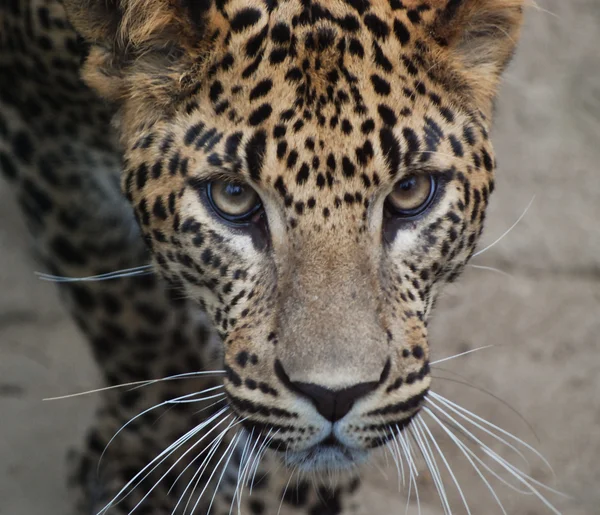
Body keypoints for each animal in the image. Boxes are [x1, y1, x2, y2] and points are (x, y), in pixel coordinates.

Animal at [1, 0, 564, 512]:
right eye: (233, 196)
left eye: (410, 191)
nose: (335, 395)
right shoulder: (45, 141)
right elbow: (129, 316)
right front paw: (159, 468)